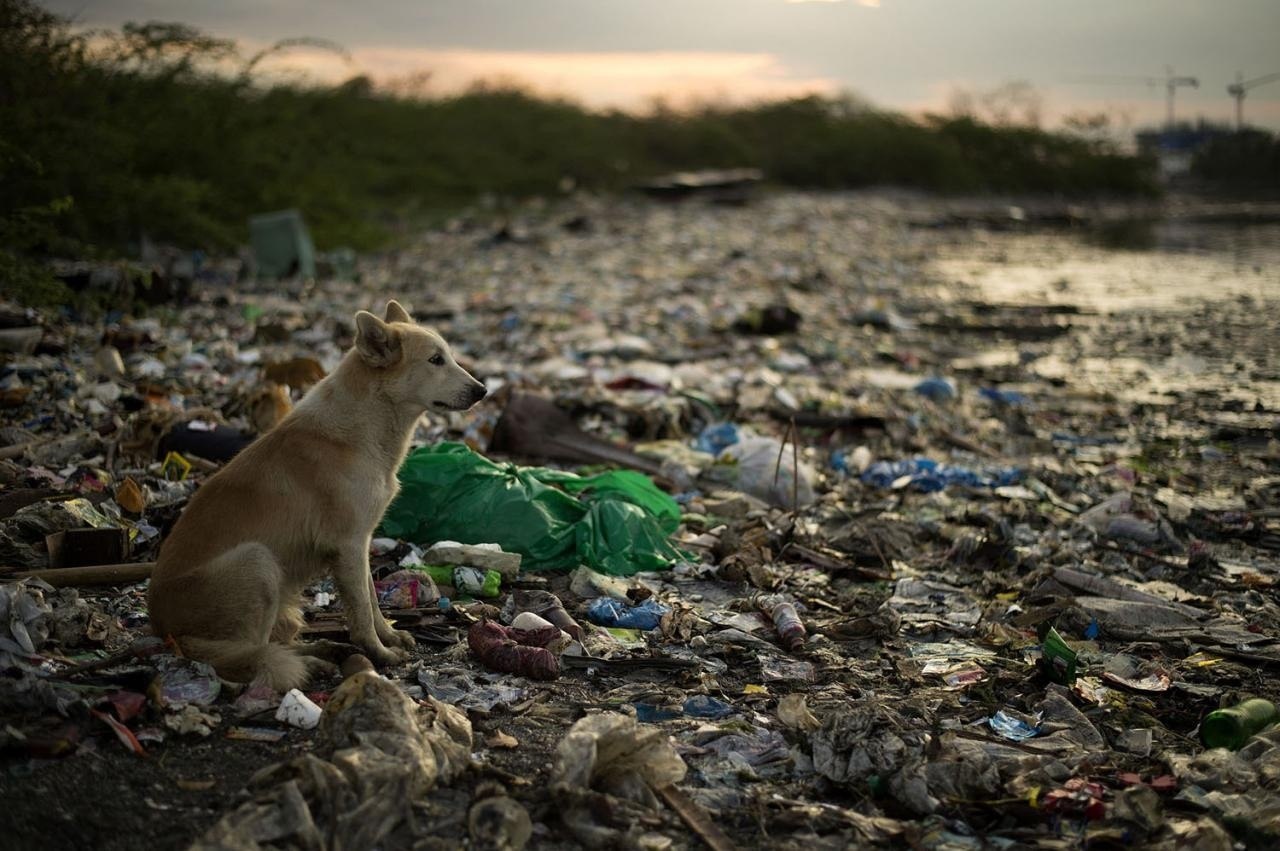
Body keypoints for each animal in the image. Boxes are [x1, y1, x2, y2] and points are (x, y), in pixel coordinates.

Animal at [147, 302, 486, 685]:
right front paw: (379, 653)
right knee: (252, 655)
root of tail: (163, 629)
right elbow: (362, 611)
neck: (364, 425)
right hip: (257, 562)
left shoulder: (360, 544)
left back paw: (323, 651)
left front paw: (387, 636)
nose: (482, 391)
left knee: (272, 646)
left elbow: (371, 599)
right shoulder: (348, 545)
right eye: (435, 360)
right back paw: (310, 663)